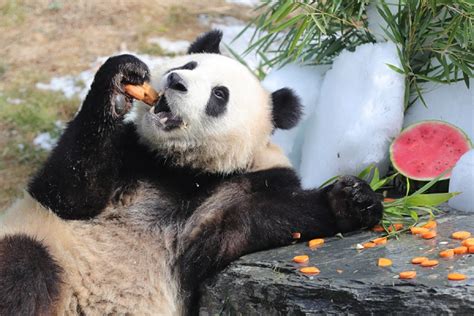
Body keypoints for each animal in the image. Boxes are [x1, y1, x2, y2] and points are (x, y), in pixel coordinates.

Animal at [0, 30, 382, 316]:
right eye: (189, 64)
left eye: (219, 94)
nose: (176, 81)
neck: (182, 168)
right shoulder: (132, 151)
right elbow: (68, 192)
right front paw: (121, 77)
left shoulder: (237, 189)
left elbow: (259, 219)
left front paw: (354, 200)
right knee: (24, 264)